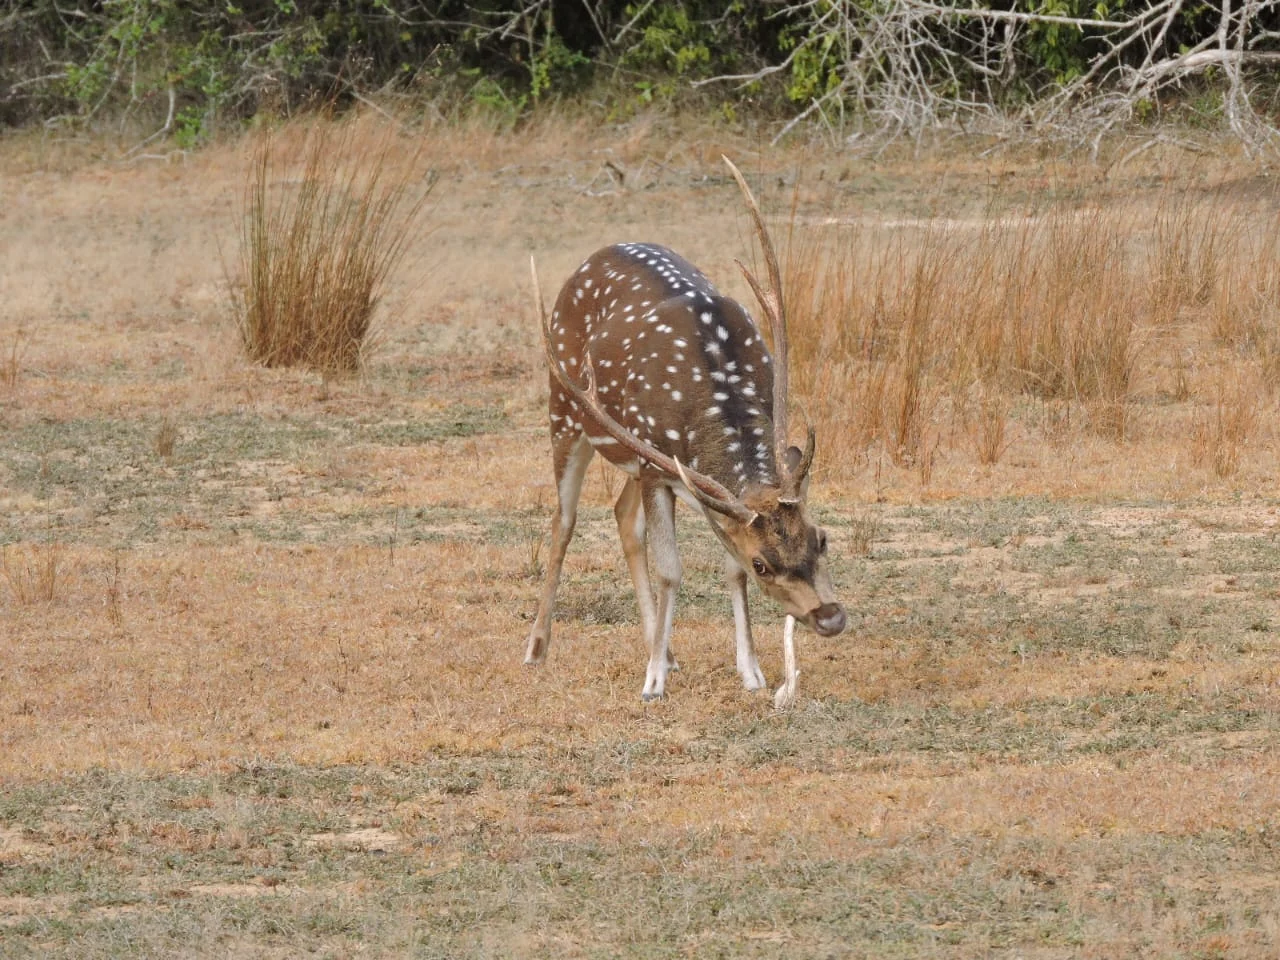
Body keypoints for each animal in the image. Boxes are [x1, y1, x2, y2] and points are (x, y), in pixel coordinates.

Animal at [525, 157, 846, 707]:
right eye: (765, 564)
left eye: (820, 537)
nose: (830, 616)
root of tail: (593, 257)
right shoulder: (657, 465)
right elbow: (672, 569)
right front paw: (652, 681)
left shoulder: (684, 480)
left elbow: (725, 567)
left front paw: (751, 672)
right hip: (565, 412)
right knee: (563, 521)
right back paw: (539, 647)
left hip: (628, 457)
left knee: (621, 515)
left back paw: (666, 649)